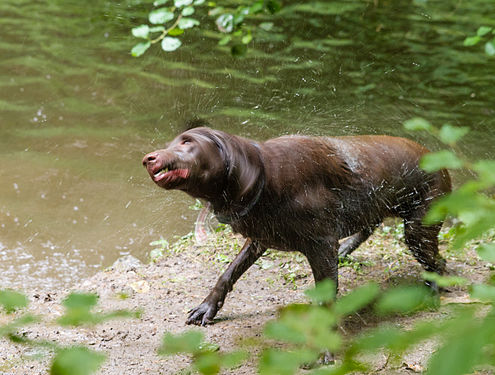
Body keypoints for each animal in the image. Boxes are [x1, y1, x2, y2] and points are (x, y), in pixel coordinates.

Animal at [141, 126, 452, 326]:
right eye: (173, 142)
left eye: (187, 143)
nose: (148, 158)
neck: (266, 181)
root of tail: (442, 161)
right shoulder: (260, 239)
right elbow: (228, 273)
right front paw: (207, 308)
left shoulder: (321, 247)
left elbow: (326, 299)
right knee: (369, 226)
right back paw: (347, 249)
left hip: (418, 229)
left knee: (439, 262)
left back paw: (432, 290)